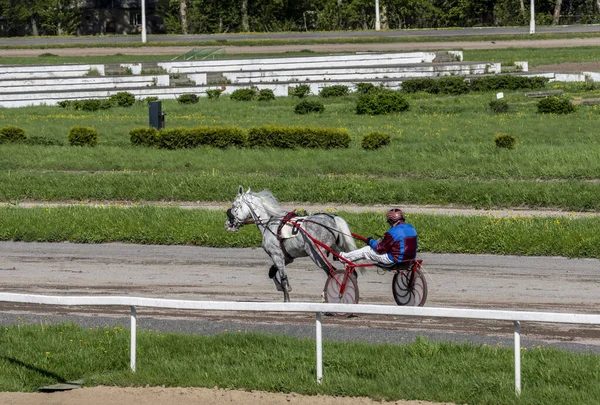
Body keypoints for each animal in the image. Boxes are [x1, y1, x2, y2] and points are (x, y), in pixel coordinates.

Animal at [225, 186, 356, 300]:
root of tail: (333, 219)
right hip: (337, 249)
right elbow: (272, 271)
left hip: (316, 253)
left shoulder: (276, 255)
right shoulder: (287, 257)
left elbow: (283, 277)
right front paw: (283, 287)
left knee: (332, 272)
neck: (270, 223)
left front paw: (286, 298)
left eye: (234, 205)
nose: (227, 224)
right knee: (350, 270)